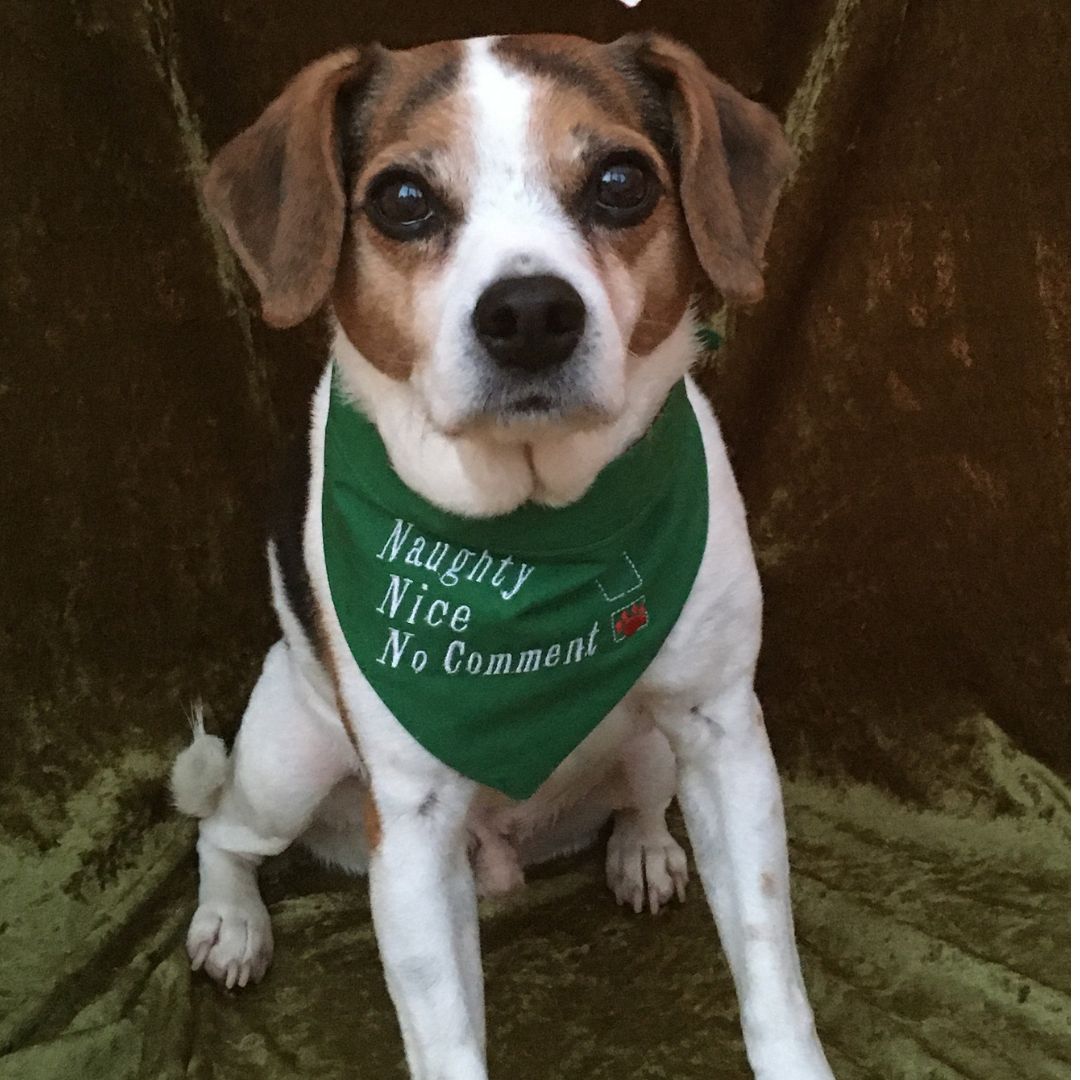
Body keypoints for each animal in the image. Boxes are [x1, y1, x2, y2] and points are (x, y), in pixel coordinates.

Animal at [170, 29, 833, 1075]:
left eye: (620, 182)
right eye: (402, 198)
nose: (528, 314)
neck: (528, 535)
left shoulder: (726, 737)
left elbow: (773, 977)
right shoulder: (412, 829)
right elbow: (446, 1038)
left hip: (653, 746)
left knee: (644, 798)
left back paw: (643, 848)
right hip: (285, 759)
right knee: (222, 832)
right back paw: (232, 923)